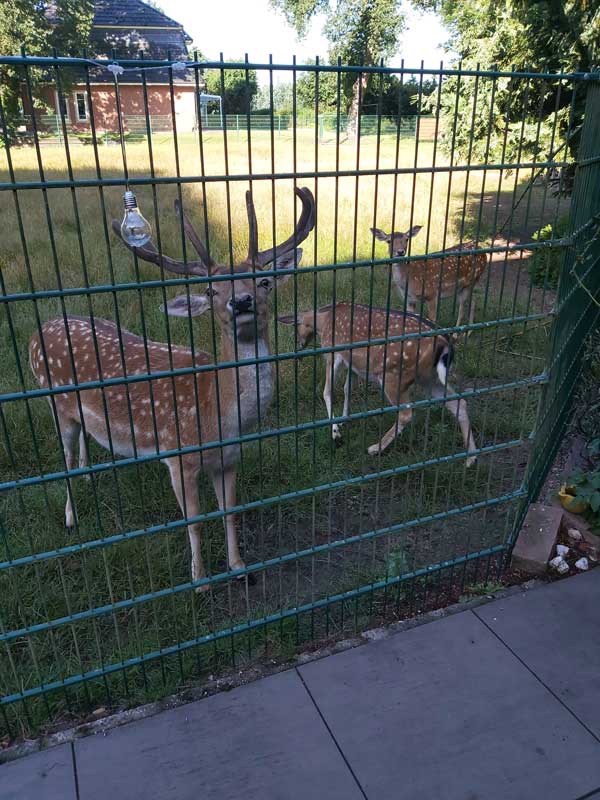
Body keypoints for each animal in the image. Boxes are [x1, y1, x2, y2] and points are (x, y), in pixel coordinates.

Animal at [29, 186, 314, 588]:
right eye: (210, 291)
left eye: (264, 282)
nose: (240, 301)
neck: (219, 416)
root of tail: (38, 332)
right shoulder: (179, 459)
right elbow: (194, 522)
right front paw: (200, 579)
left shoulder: (229, 459)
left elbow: (230, 512)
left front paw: (239, 567)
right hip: (54, 401)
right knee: (64, 459)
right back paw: (71, 519)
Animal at [278, 304, 478, 466]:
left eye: (296, 326)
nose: (299, 343)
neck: (323, 321)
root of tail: (445, 344)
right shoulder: (353, 364)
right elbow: (347, 389)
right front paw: (344, 419)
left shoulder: (333, 354)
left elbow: (327, 391)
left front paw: (335, 432)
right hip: (429, 378)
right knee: (458, 403)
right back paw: (471, 458)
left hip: (393, 376)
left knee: (407, 413)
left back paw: (375, 448)